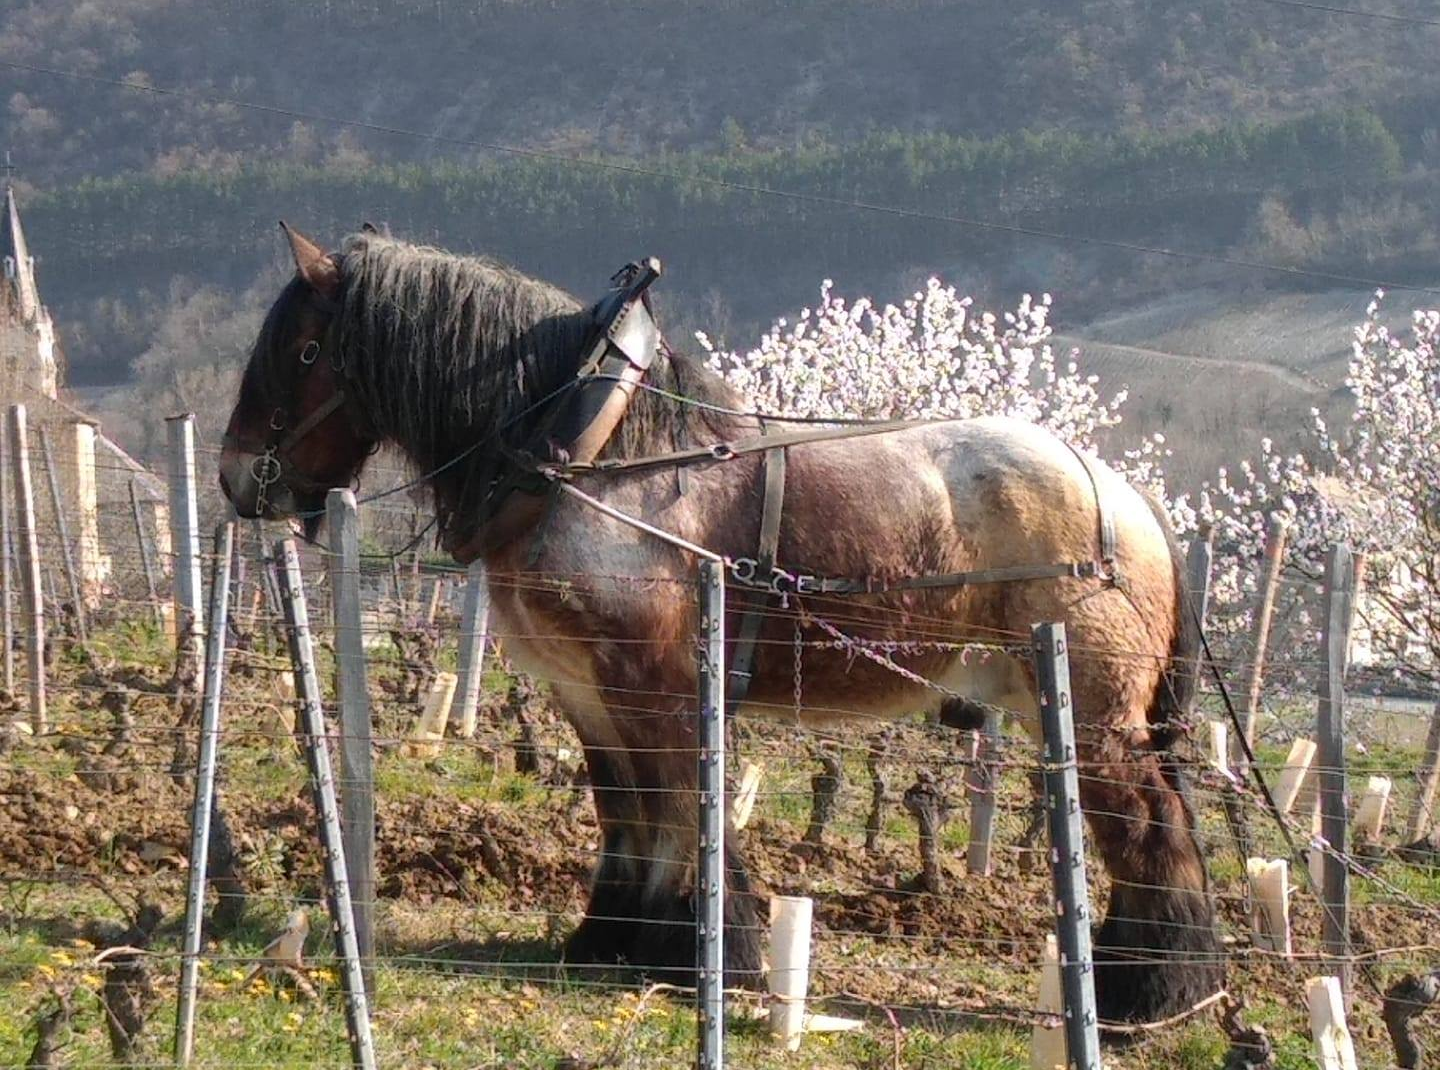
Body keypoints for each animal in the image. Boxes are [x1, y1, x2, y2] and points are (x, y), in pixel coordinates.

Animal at [221, 223, 1226, 1019]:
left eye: (304, 352)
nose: (237, 479)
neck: (596, 458)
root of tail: (1126, 492)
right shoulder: (587, 693)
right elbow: (626, 813)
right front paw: (608, 940)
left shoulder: (660, 685)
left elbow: (684, 810)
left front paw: (719, 954)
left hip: (1094, 711)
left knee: (1150, 825)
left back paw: (1160, 990)